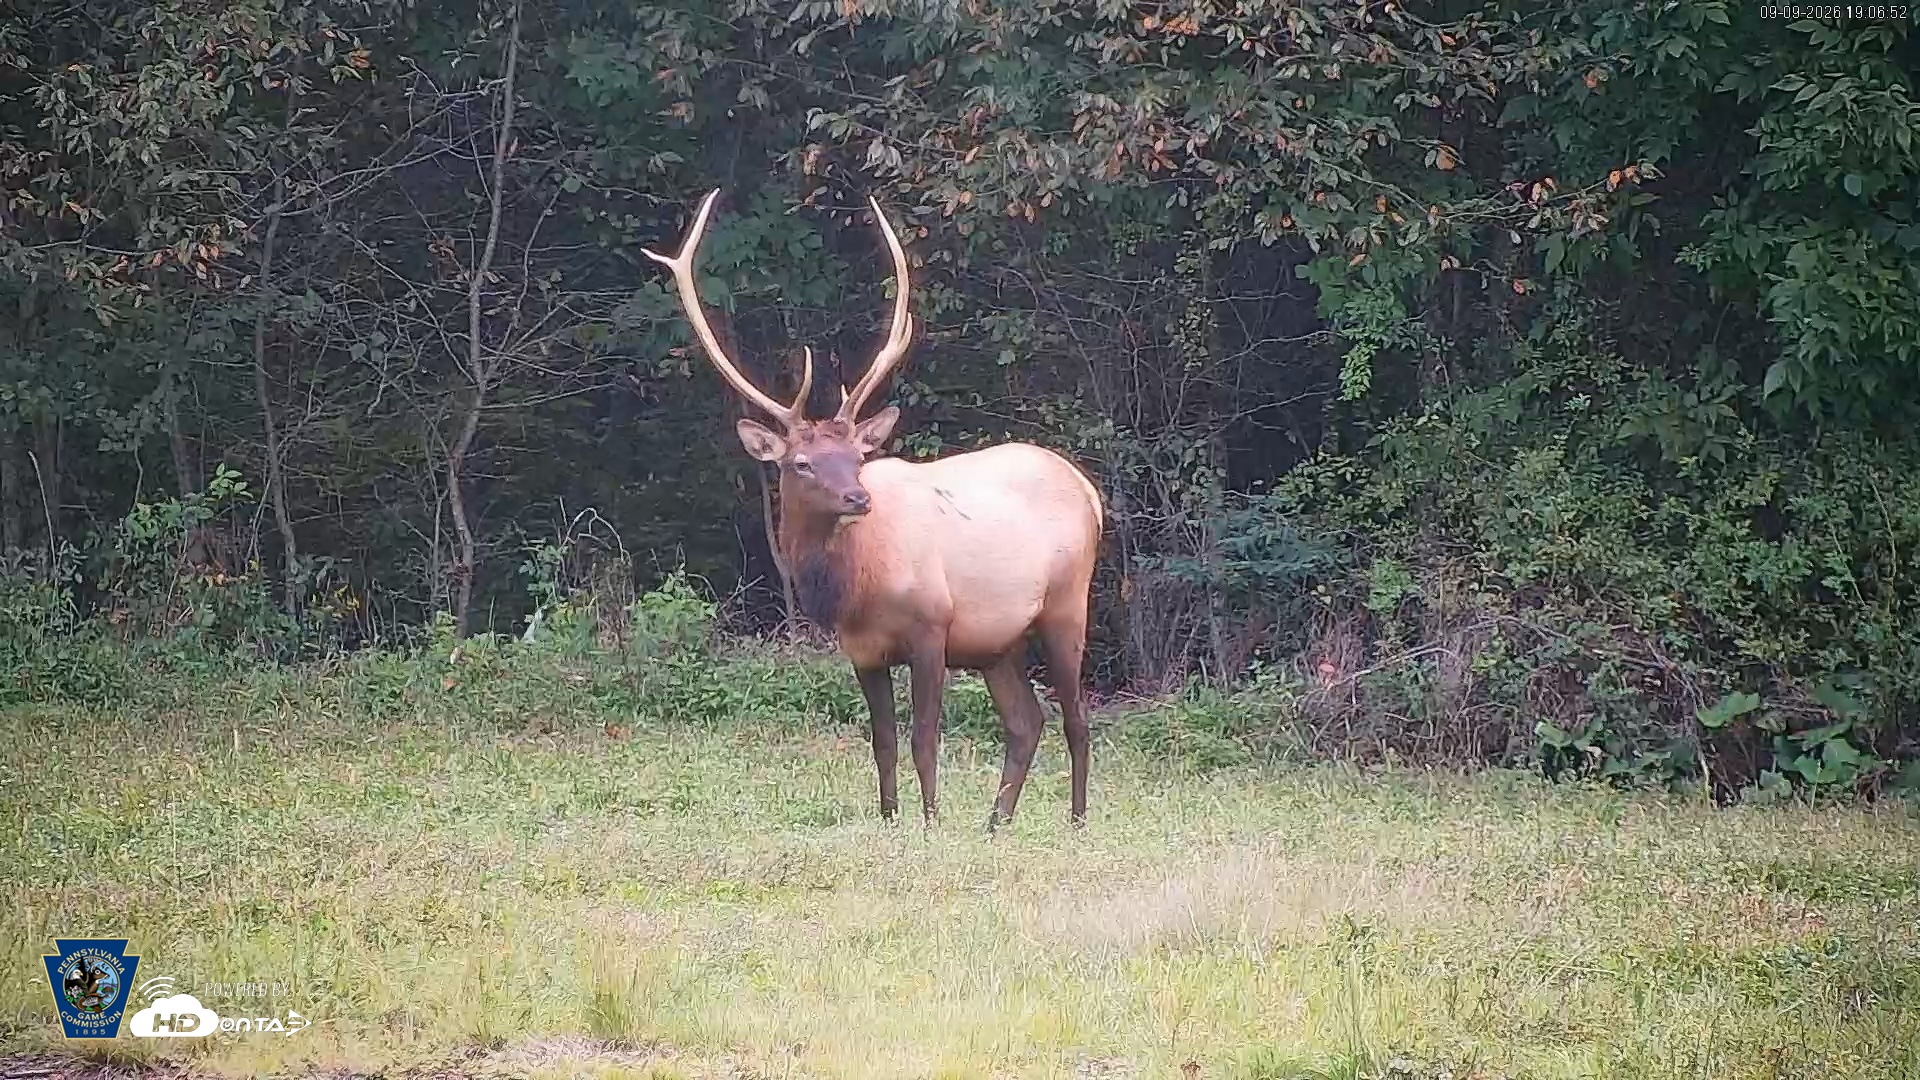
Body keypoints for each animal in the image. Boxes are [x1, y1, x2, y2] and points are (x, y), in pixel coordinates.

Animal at [643, 189, 1103, 830]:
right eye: (802, 462)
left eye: (858, 457)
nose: (857, 497)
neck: (856, 589)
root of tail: (1090, 492)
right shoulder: (862, 651)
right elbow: (882, 741)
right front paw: (890, 819)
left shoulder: (933, 629)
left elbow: (924, 738)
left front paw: (931, 822)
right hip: (997, 640)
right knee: (1025, 723)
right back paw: (995, 823)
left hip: (1065, 605)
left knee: (1077, 721)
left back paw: (1076, 820)